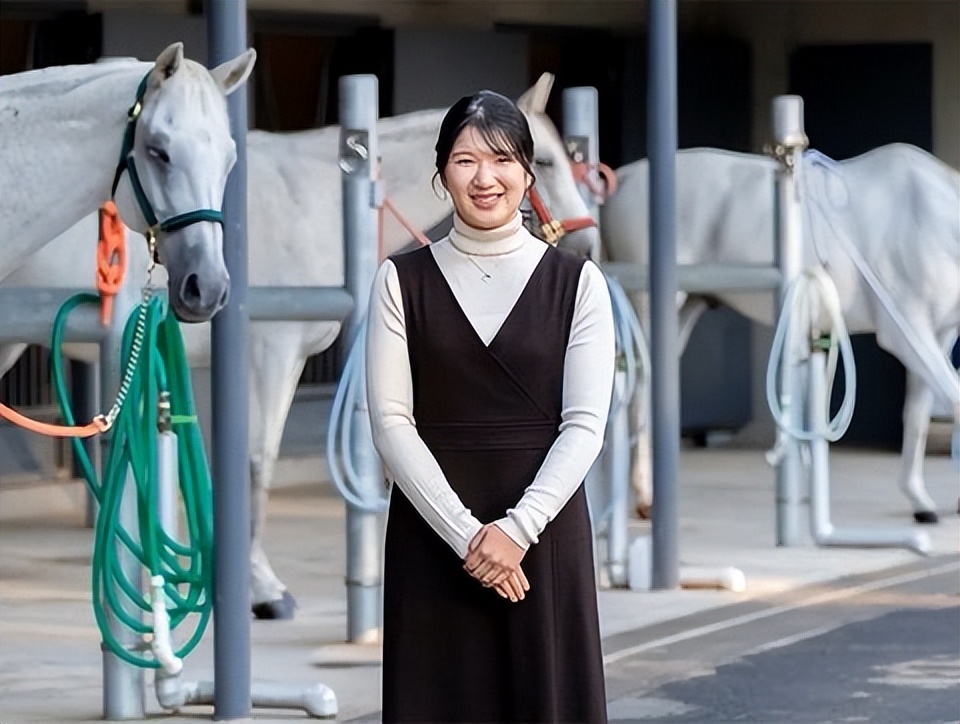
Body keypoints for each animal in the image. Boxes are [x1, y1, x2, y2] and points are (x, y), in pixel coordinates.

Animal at [1, 73, 600, 616]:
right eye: (545, 161)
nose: (587, 243)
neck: (311, 200)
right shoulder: (271, 352)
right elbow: (257, 463)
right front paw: (262, 590)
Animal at [604, 144, 956, 524]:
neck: (929, 214)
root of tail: (625, 177)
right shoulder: (906, 333)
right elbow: (952, 398)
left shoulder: (935, 336)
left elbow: (918, 416)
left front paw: (920, 500)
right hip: (648, 306)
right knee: (637, 393)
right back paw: (645, 497)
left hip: (682, 312)